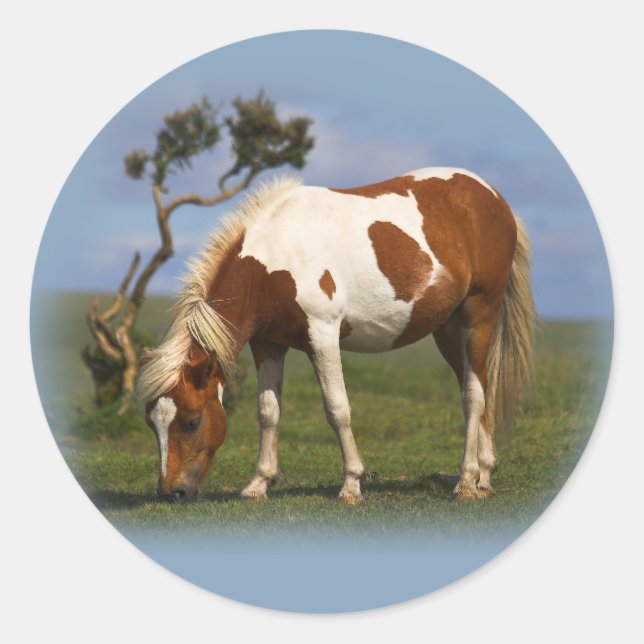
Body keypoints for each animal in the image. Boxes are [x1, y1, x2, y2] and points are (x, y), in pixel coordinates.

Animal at [138, 168, 535, 504]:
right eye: (151, 422)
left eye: (191, 421)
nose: (171, 493)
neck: (274, 258)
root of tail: (494, 198)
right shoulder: (268, 344)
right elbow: (268, 411)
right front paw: (259, 484)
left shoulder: (323, 335)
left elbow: (337, 409)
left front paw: (351, 484)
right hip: (449, 331)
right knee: (479, 385)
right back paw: (484, 476)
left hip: (478, 316)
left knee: (473, 397)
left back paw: (466, 481)